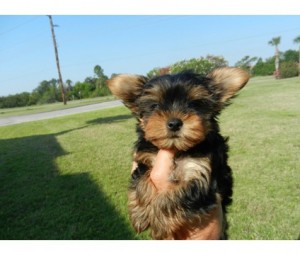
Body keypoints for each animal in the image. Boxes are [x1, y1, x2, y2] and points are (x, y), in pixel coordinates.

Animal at [107, 67, 248, 239]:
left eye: (194, 104)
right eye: (155, 105)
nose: (174, 123)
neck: (177, 150)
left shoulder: (201, 174)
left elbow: (177, 195)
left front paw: (159, 223)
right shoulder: (146, 160)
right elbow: (142, 181)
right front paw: (140, 213)